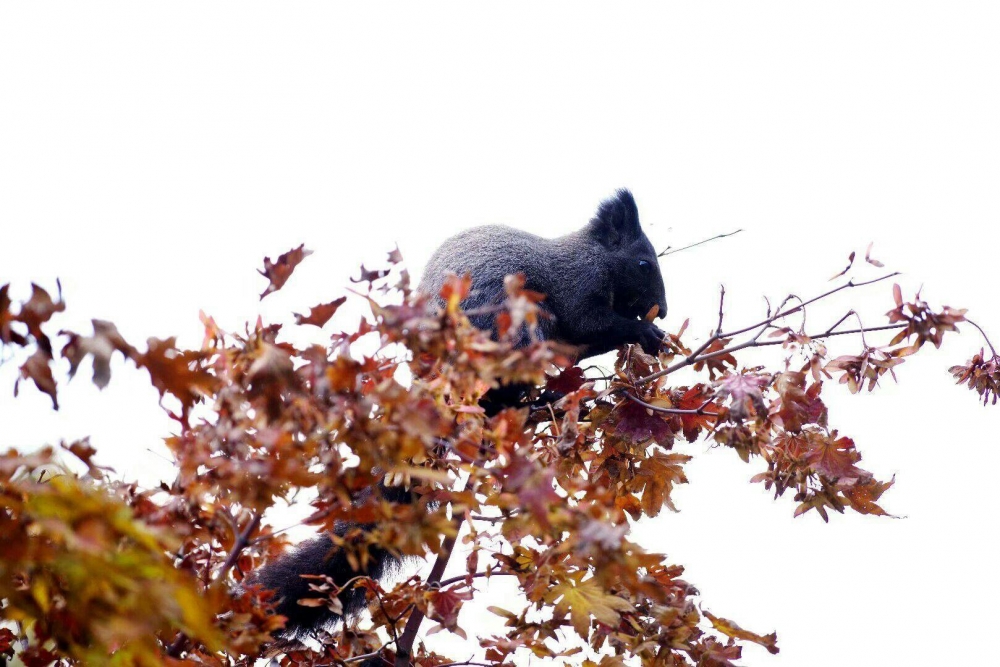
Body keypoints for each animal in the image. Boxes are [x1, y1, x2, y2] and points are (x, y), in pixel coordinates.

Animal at [249, 189, 668, 636]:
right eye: (644, 263)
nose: (664, 309)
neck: (592, 254)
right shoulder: (577, 284)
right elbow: (588, 324)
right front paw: (644, 331)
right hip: (506, 324)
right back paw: (533, 402)